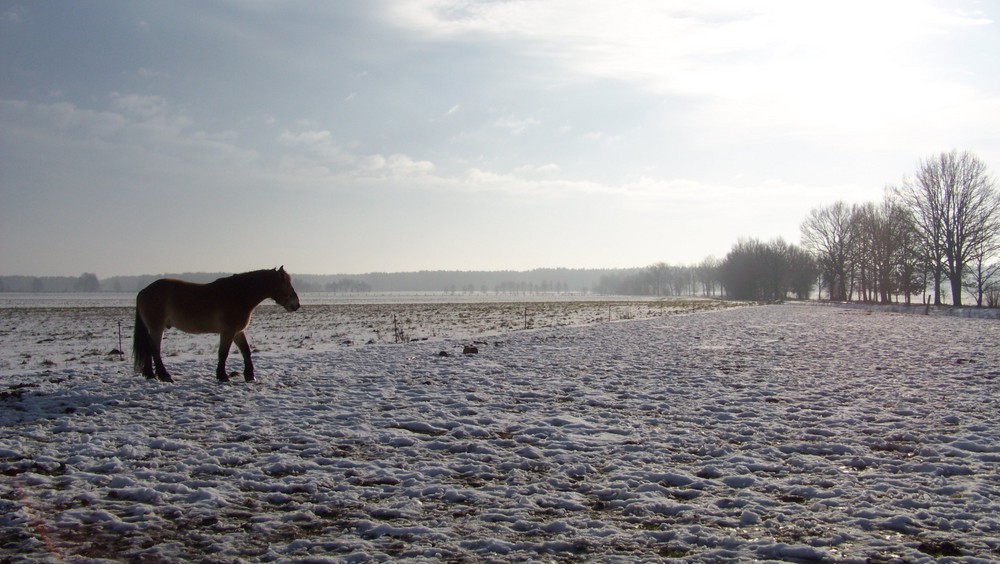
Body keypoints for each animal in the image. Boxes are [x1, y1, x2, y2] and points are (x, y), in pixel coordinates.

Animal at [132, 266, 300, 382]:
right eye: (286, 284)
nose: (296, 305)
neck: (239, 295)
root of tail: (144, 291)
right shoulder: (228, 331)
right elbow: (223, 353)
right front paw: (222, 376)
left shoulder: (238, 331)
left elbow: (246, 351)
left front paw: (250, 376)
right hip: (157, 327)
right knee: (155, 349)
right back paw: (164, 376)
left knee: (149, 349)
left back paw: (150, 375)